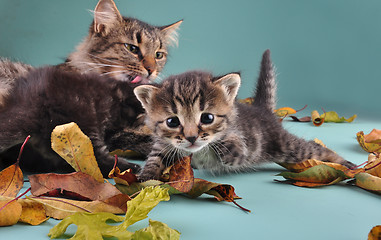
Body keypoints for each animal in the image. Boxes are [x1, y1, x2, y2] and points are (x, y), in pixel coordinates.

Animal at [133, 49, 354, 180]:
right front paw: (145, 178)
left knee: (314, 149)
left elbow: (235, 146)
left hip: (285, 146)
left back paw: (346, 164)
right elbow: (155, 158)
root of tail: (264, 110)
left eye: (207, 118)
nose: (191, 137)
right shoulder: (164, 144)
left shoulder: (240, 143)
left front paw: (226, 146)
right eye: (172, 121)